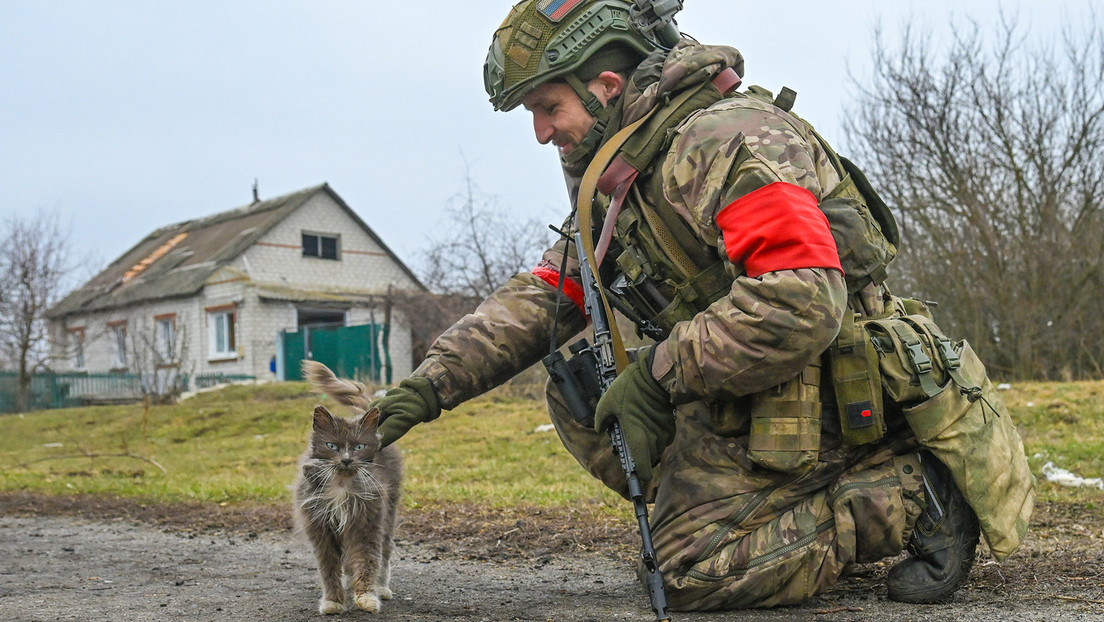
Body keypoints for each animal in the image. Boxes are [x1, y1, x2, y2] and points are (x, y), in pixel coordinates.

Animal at [295, 362, 404, 614]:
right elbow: (329, 569)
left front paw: (366, 596)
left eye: (359, 447)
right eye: (332, 446)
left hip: (388, 514)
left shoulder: (367, 524)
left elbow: (368, 562)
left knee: (385, 551)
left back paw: (381, 588)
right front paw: (333, 600)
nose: (346, 460)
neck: (341, 484)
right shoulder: (322, 529)